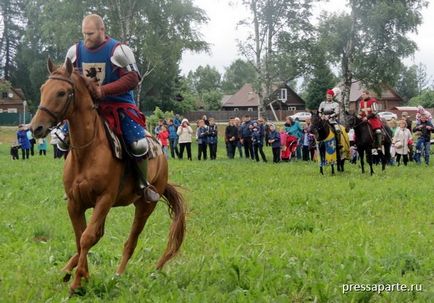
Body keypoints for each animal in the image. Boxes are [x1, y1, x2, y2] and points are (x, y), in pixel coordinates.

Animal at [30, 58, 186, 296]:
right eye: (42, 89)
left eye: (62, 92)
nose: (36, 127)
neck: (87, 151)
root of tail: (161, 155)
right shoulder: (75, 203)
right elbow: (81, 238)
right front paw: (79, 275)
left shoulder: (104, 200)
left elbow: (86, 237)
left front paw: (78, 281)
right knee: (97, 234)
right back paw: (66, 270)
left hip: (145, 206)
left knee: (130, 242)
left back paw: (118, 275)